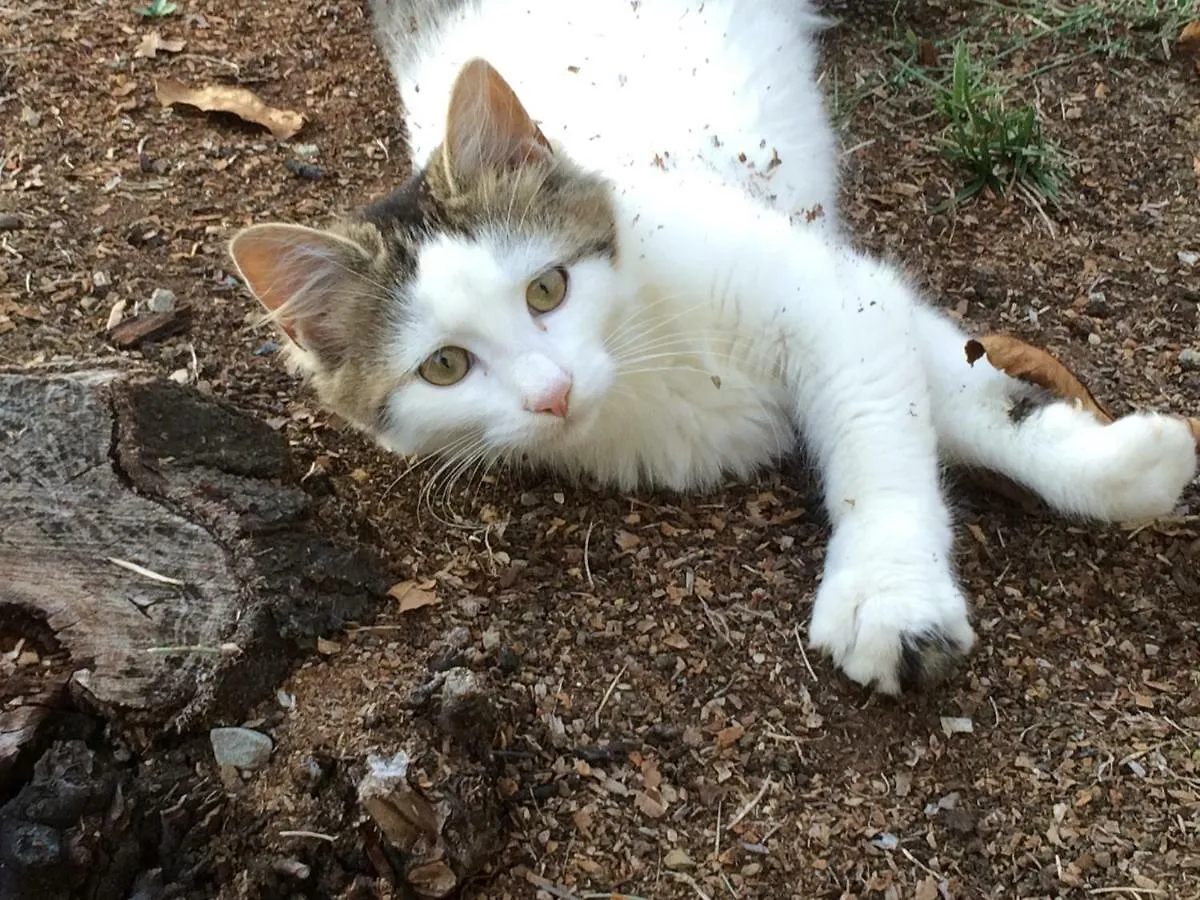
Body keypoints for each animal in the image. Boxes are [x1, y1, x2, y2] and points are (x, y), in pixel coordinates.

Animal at [229, 0, 1195, 696]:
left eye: (547, 289)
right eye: (445, 367)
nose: (553, 393)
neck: (646, 356)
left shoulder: (836, 294)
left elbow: (914, 426)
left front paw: (894, 592)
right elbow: (957, 402)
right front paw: (1124, 467)